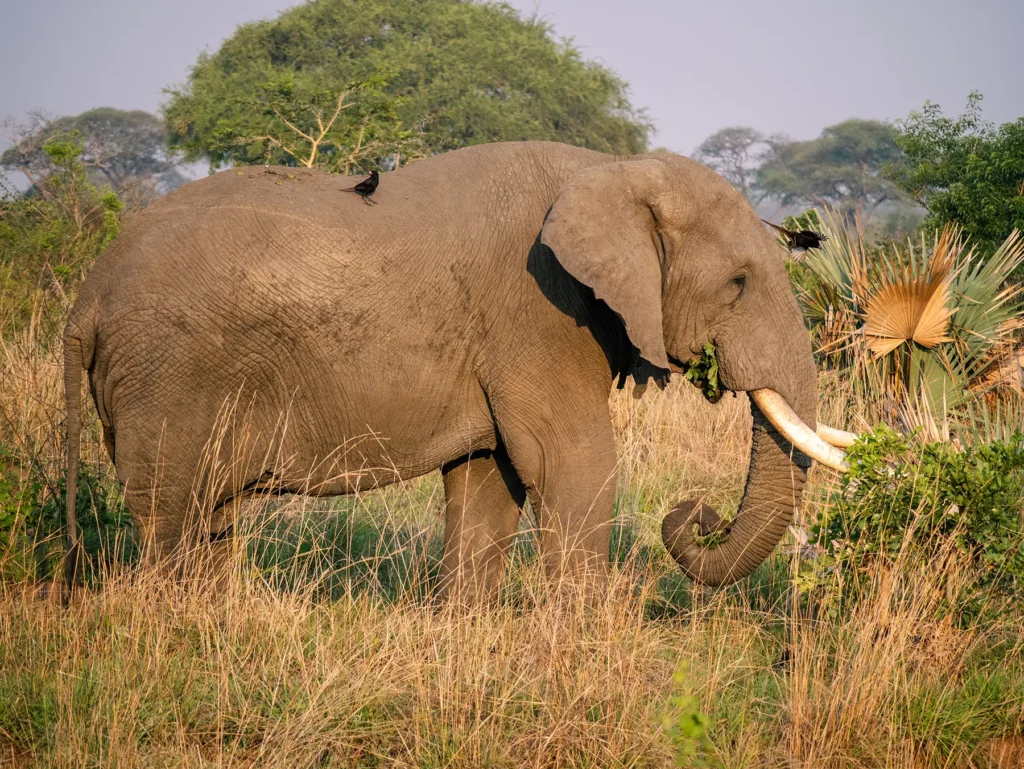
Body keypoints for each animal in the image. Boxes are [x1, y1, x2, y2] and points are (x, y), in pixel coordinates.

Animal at [63, 140, 852, 599]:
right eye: (740, 283)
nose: (695, 512)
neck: (615, 169)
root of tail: (88, 295)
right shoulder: (540, 311)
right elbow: (573, 461)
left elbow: (489, 477)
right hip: (167, 373)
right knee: (172, 515)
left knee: (209, 516)